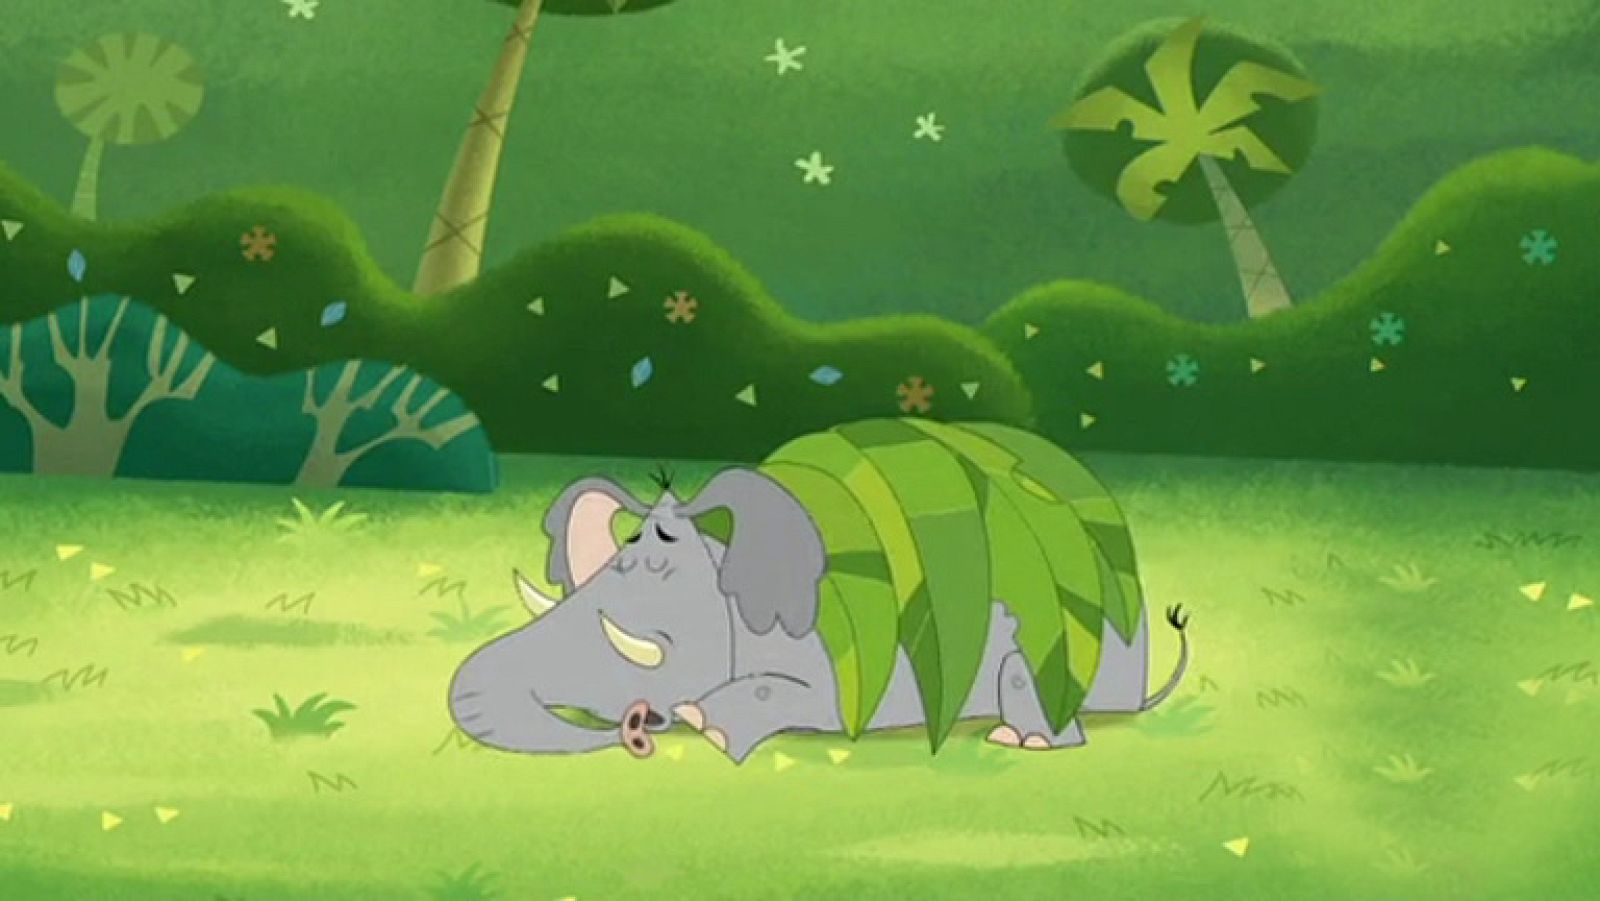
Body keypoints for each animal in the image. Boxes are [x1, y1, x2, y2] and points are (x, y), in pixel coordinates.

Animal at [447, 467, 1192, 763]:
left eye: (632, 642)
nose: (637, 730)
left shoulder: (841, 663)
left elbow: (791, 694)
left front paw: (708, 726)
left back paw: (1022, 741)